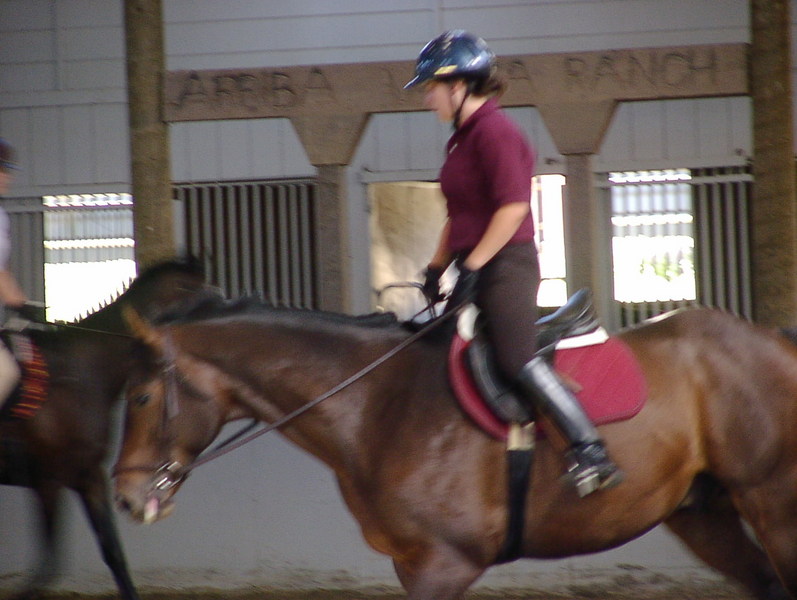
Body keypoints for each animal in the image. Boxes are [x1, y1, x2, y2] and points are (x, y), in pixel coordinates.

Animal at [0, 258, 209, 600]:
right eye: (204, 298)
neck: (82, 375)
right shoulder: (47, 480)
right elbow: (47, 568)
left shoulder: (89, 475)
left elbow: (114, 555)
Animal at [113, 298, 797, 600]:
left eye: (142, 397)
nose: (125, 496)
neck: (377, 404)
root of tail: (772, 339)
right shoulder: (411, 562)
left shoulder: (445, 563)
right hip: (704, 512)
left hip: (773, 504)